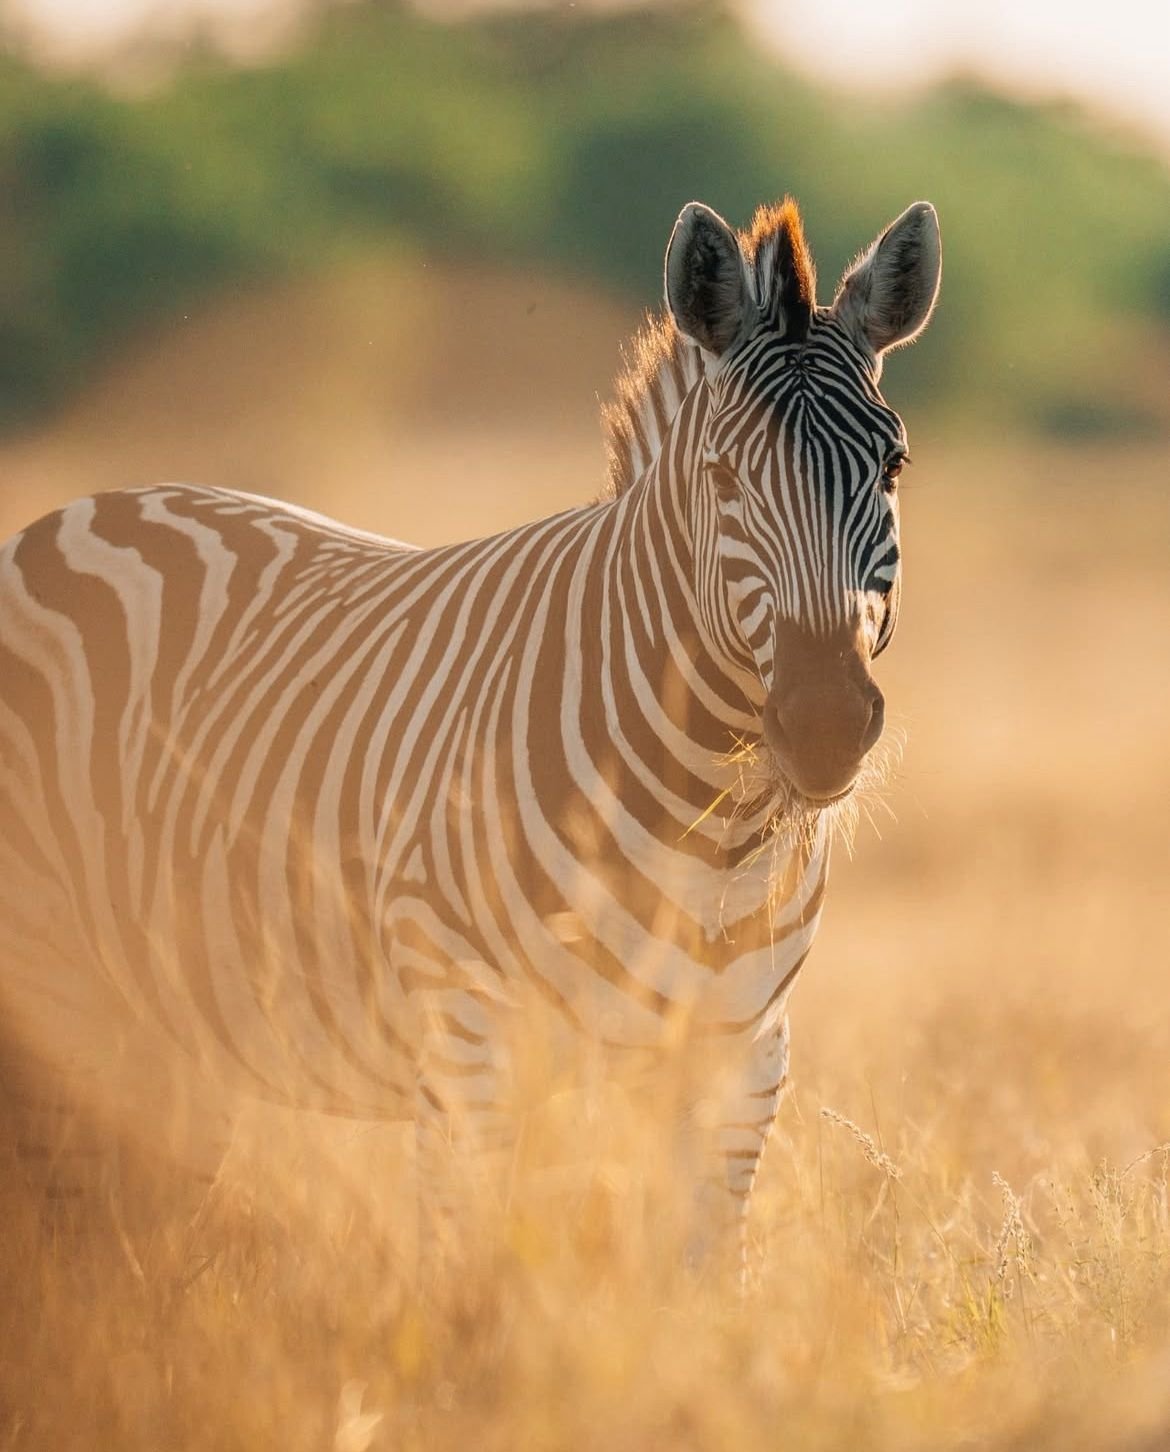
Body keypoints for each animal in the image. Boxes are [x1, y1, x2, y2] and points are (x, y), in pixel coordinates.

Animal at [0, 195, 940, 1263]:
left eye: (893, 465)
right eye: (723, 476)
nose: (824, 723)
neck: (713, 823)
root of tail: (72, 514)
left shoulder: (739, 1059)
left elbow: (700, 1276)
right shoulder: (466, 1043)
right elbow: (466, 1274)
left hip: (167, 1030)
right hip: (55, 979)